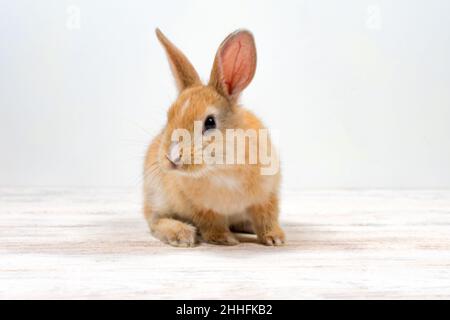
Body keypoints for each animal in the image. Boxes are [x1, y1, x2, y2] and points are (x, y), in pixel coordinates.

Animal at [143, 27, 284, 248]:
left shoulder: (267, 196)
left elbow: (266, 218)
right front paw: (225, 239)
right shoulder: (201, 208)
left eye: (210, 122)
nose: (172, 158)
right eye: (169, 116)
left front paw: (275, 238)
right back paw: (181, 234)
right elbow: (211, 223)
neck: (222, 167)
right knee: (155, 221)